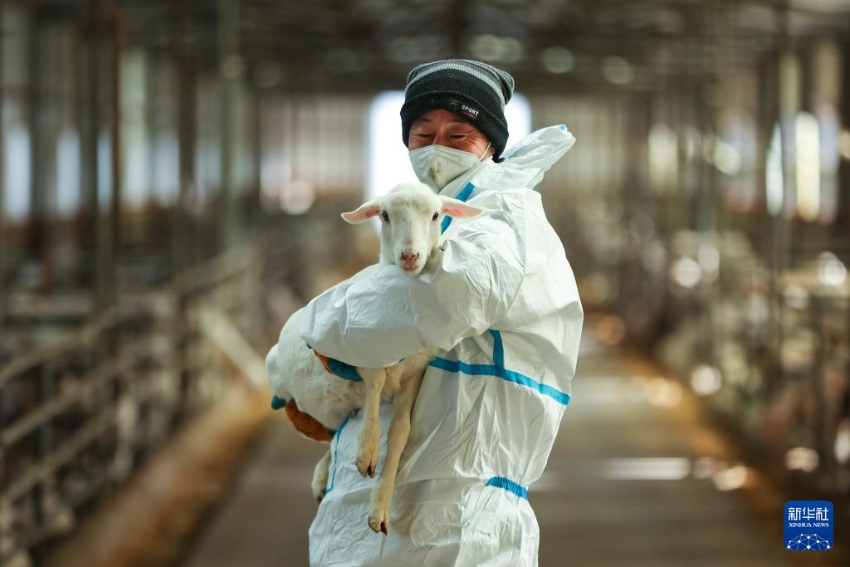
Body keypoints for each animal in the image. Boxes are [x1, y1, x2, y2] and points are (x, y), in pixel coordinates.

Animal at [266, 183, 476, 536]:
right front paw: (367, 450)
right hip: (275, 370)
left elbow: (401, 431)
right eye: (385, 215)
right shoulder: (360, 346)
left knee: (334, 433)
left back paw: (322, 475)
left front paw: (379, 507)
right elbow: (375, 386)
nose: (409, 256)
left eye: (436, 215)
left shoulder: (415, 374)